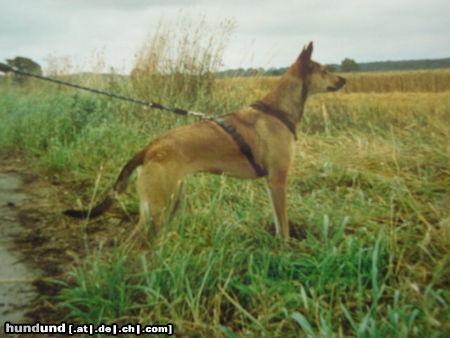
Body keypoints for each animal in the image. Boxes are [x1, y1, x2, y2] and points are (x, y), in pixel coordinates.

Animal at [64, 42, 344, 242]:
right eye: (324, 70)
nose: (345, 80)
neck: (277, 110)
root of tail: (150, 148)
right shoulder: (278, 180)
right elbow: (283, 226)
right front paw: (285, 250)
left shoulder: (271, 183)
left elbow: (277, 222)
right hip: (158, 208)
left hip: (169, 203)